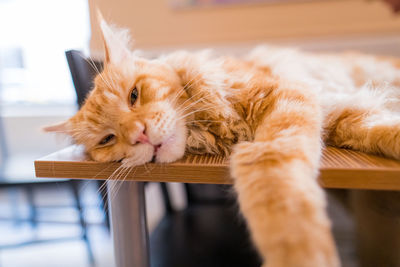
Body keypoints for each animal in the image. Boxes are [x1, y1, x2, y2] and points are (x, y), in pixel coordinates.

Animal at [45, 16, 400, 267]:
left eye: (134, 95)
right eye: (108, 139)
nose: (139, 135)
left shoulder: (288, 100)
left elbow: (276, 183)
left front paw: (297, 252)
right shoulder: (338, 114)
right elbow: (379, 129)